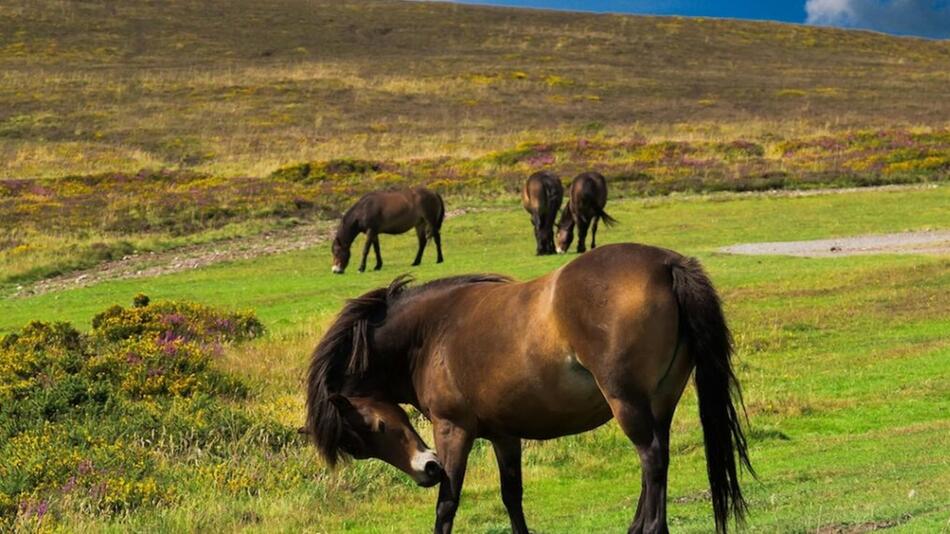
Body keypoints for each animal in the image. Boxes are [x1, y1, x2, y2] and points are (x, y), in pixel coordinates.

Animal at [308, 244, 756, 534]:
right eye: (361, 446)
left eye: (373, 430)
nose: (426, 471)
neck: (431, 333)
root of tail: (666, 263)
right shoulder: (504, 435)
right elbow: (512, 497)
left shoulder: (453, 429)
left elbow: (447, 505)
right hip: (660, 403)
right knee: (657, 461)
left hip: (628, 403)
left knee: (652, 459)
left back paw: (650, 528)